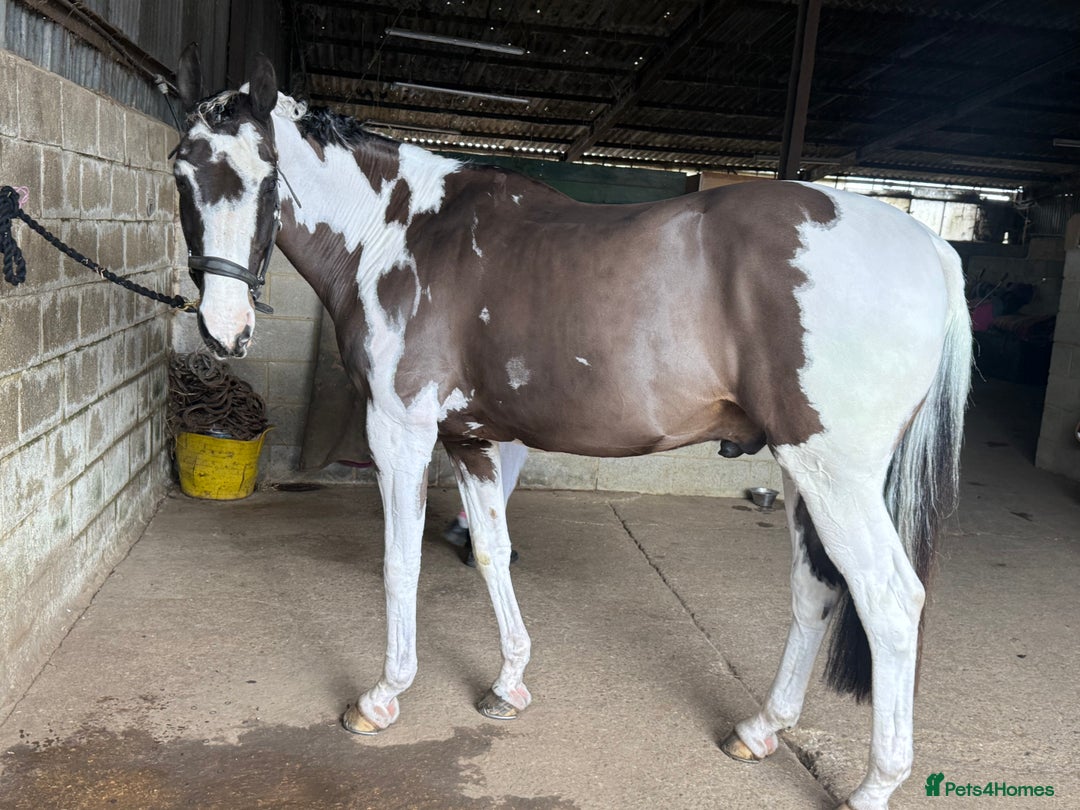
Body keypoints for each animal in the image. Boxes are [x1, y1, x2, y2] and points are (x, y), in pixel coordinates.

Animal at [170, 46, 971, 810]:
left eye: (265, 174)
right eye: (182, 174)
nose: (223, 328)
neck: (399, 232)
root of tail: (934, 249)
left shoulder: (401, 432)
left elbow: (401, 564)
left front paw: (381, 698)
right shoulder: (472, 438)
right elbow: (490, 551)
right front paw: (507, 685)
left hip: (835, 475)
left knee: (889, 602)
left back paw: (874, 786)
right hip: (806, 471)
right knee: (817, 589)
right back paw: (760, 730)